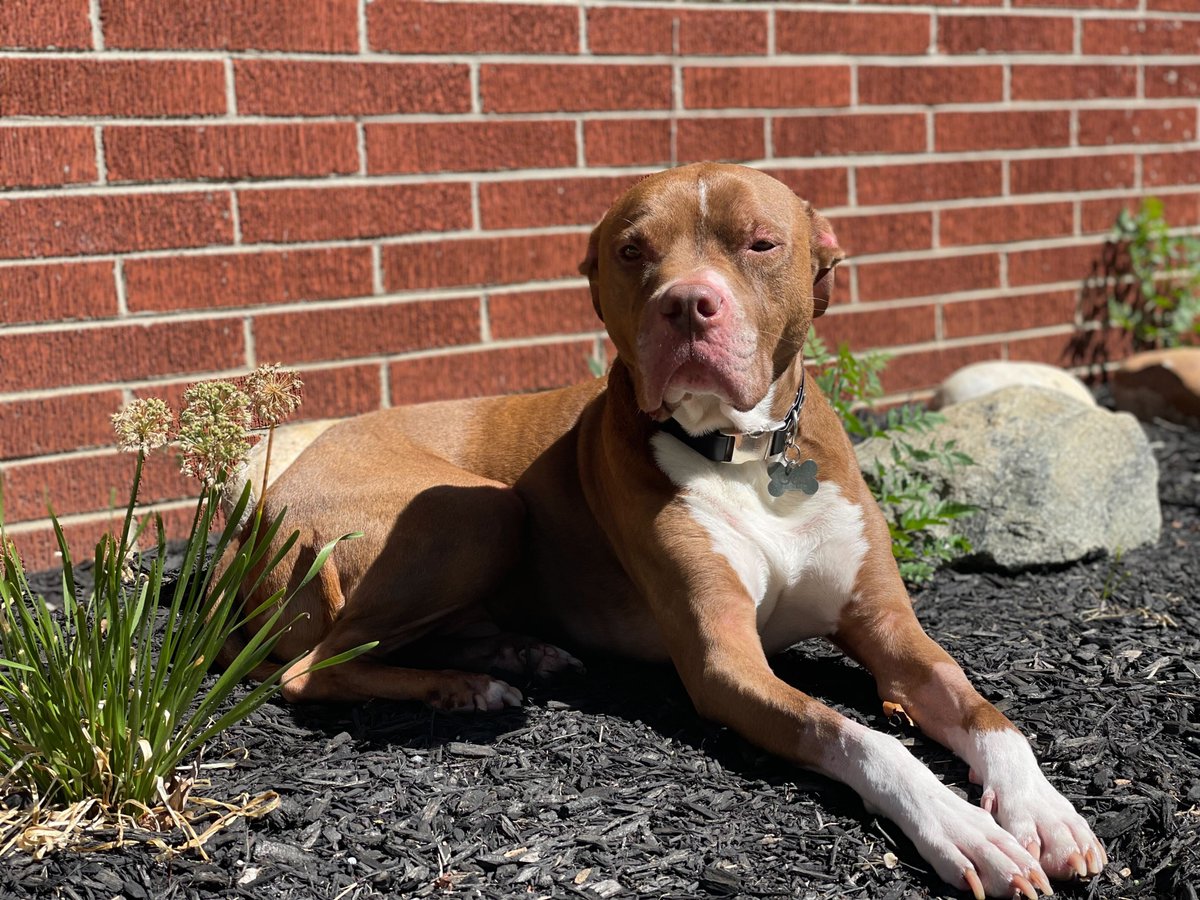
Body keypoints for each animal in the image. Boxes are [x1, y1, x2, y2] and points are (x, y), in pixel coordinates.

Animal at [218, 164, 1104, 900]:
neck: (747, 454)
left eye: (760, 242)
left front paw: (1044, 811)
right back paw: (464, 687)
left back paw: (514, 653)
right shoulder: (724, 664)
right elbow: (862, 738)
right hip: (474, 509)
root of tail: (261, 502)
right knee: (308, 669)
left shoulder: (889, 627)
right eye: (631, 250)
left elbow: (990, 717)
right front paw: (964, 828)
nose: (686, 302)